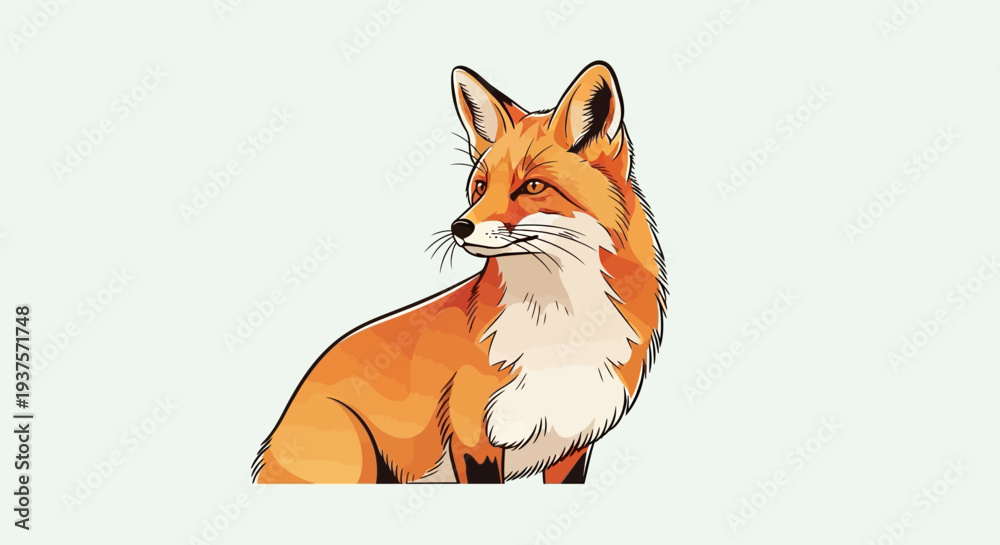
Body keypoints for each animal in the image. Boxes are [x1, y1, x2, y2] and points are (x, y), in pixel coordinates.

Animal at [252, 61, 667, 484]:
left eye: (533, 186)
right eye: (480, 187)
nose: (459, 227)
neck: (560, 337)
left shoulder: (573, 447)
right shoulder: (473, 441)